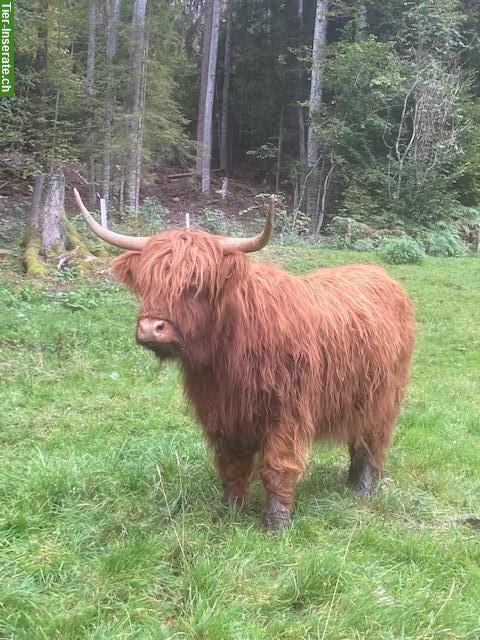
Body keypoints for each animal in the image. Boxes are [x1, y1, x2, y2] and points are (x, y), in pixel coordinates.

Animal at [74, 189, 412, 528]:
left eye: (195, 285)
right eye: (147, 283)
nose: (150, 328)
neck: (228, 355)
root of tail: (378, 273)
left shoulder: (287, 412)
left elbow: (277, 466)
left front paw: (277, 523)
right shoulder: (222, 413)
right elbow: (231, 464)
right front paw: (228, 510)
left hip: (384, 397)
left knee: (372, 441)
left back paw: (362, 488)